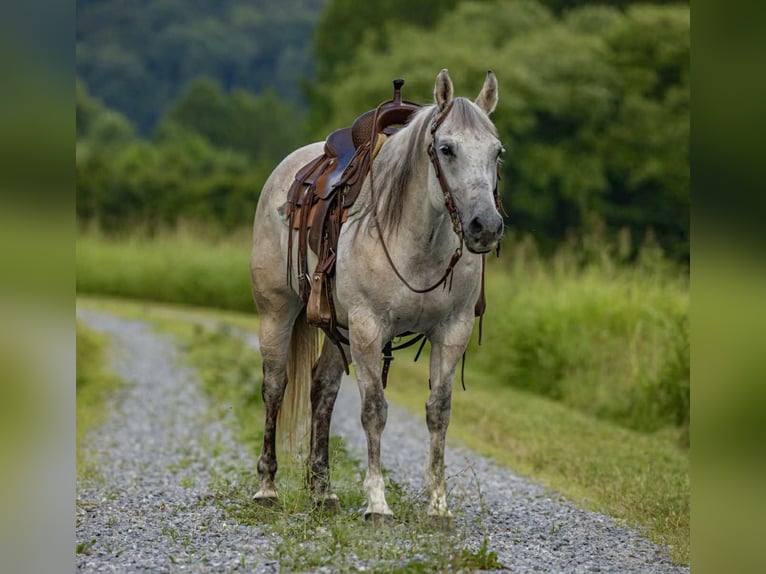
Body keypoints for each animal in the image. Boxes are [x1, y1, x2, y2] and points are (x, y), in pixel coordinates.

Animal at [249, 69, 504, 520]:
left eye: (497, 153)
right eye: (446, 149)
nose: (485, 227)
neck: (418, 241)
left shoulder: (451, 332)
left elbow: (439, 412)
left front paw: (438, 506)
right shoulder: (370, 329)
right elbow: (374, 411)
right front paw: (378, 503)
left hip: (339, 329)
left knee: (323, 390)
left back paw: (323, 491)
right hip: (277, 311)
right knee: (275, 386)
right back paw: (267, 487)